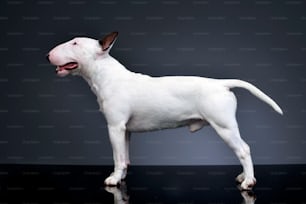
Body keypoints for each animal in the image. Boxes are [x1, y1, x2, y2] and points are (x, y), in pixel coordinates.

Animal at [46, 31, 284, 190]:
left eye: (75, 43)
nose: (48, 54)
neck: (105, 75)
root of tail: (221, 84)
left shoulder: (114, 127)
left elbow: (117, 156)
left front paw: (113, 179)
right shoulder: (125, 130)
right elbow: (125, 156)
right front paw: (122, 176)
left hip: (224, 126)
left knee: (243, 150)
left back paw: (249, 181)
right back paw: (243, 176)